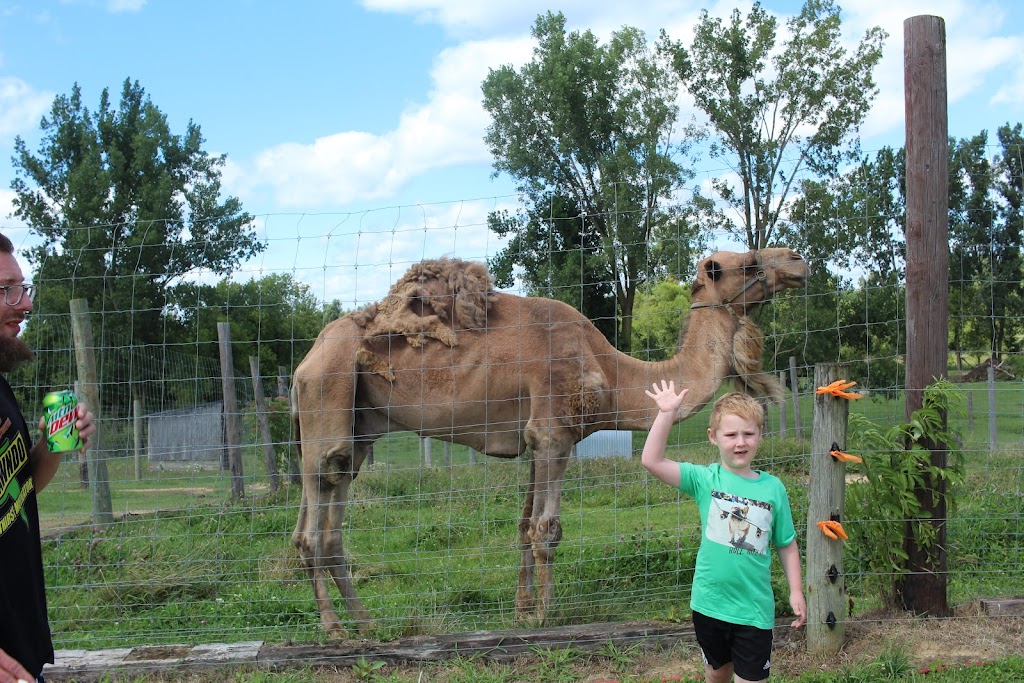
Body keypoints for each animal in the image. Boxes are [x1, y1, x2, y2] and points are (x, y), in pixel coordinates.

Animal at [291, 247, 808, 636]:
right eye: (748, 263)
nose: (798, 261)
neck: (611, 374)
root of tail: (305, 361)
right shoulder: (555, 435)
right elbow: (547, 529)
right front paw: (545, 614)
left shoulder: (536, 440)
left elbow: (524, 525)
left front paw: (522, 609)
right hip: (327, 400)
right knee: (314, 526)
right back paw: (333, 628)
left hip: (358, 427)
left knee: (324, 523)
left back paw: (365, 623)